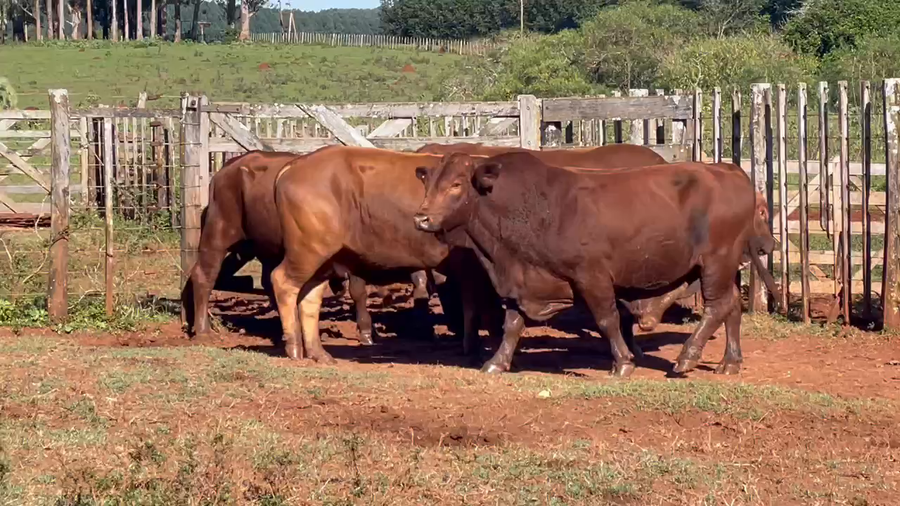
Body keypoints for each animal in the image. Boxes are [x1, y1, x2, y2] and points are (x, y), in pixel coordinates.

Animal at [180, 150, 433, 345]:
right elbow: (359, 292)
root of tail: (226, 169)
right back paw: (202, 330)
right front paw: (366, 332)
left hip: (251, 247)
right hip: (220, 235)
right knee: (205, 275)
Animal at [413, 152, 777, 377]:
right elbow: (512, 325)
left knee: (717, 307)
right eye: (429, 184)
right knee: (731, 307)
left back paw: (687, 357)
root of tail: (727, 170)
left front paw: (623, 363)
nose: (421, 218)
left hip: (716, 263)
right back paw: (730, 361)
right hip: (722, 268)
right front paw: (497, 362)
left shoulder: (592, 276)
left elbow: (607, 320)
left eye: (456, 185)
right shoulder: (521, 281)